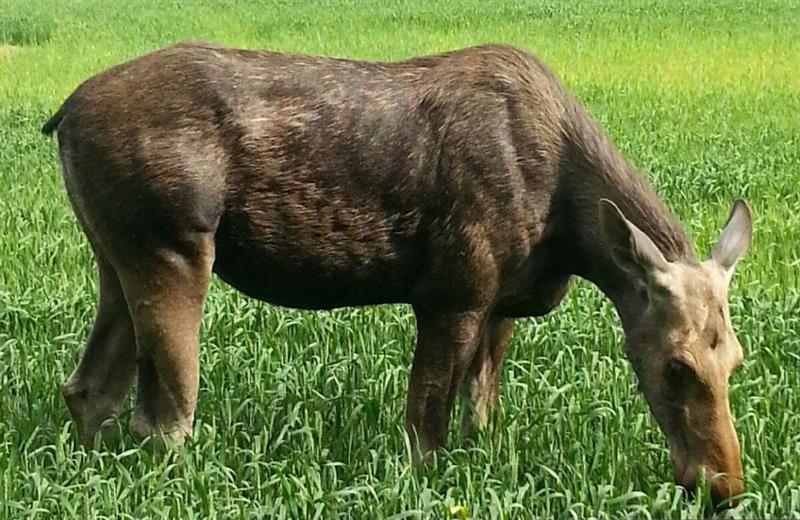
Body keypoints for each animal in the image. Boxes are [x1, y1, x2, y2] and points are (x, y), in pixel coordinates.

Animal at [45, 42, 752, 506]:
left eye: (738, 361)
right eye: (676, 366)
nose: (723, 486)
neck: (569, 233)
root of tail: (63, 114)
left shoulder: (501, 306)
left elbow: (479, 416)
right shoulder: (452, 293)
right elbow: (425, 430)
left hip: (118, 260)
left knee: (88, 389)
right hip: (174, 250)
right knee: (161, 423)